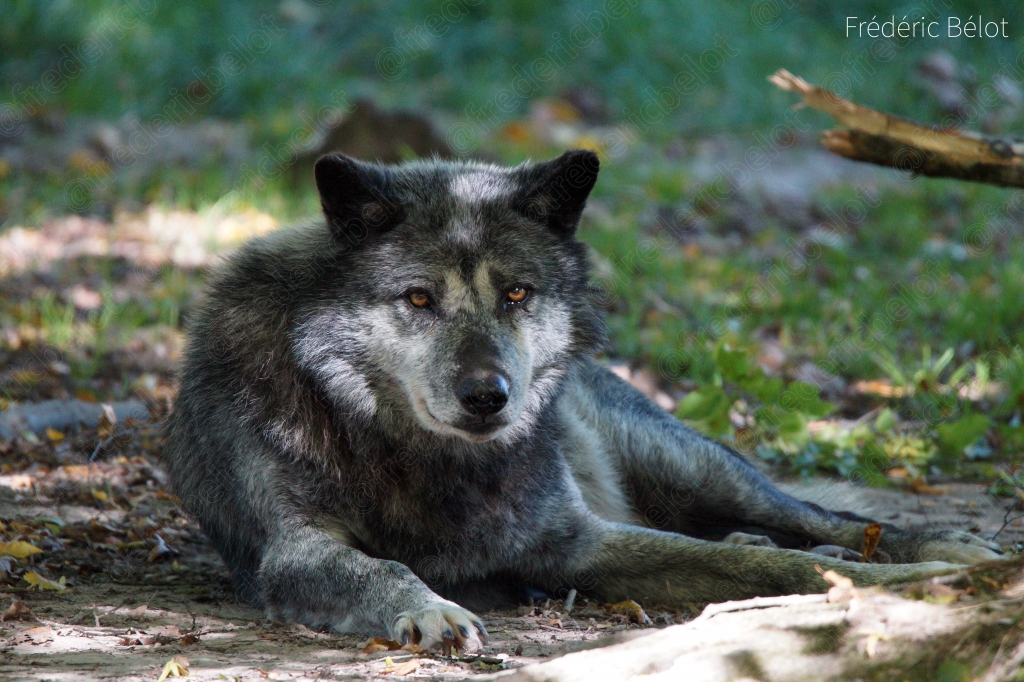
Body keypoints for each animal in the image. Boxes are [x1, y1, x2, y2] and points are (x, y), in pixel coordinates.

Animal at [163, 149, 1002, 652]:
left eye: (517, 294)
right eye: (419, 298)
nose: (488, 396)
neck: (420, 459)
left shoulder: (580, 543)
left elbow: (769, 570)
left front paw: (918, 582)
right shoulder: (294, 550)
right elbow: (381, 569)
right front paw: (431, 607)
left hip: (702, 471)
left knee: (822, 518)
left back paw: (942, 550)